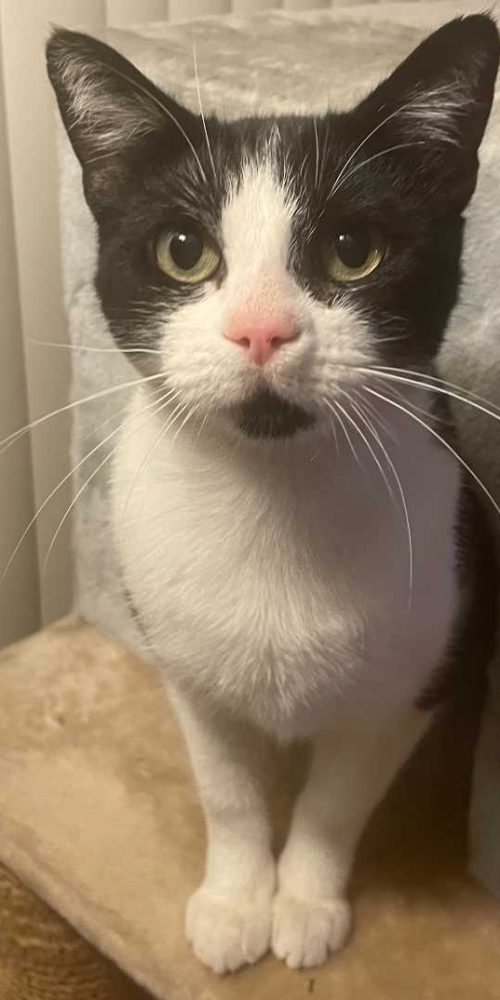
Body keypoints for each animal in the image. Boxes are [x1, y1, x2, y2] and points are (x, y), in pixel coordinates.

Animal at [47, 16, 499, 974]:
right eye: (183, 251)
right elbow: (227, 789)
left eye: (353, 251)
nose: (261, 329)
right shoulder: (188, 670)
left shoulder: (416, 673)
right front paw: (234, 901)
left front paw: (303, 904)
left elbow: (336, 800)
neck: (273, 496)